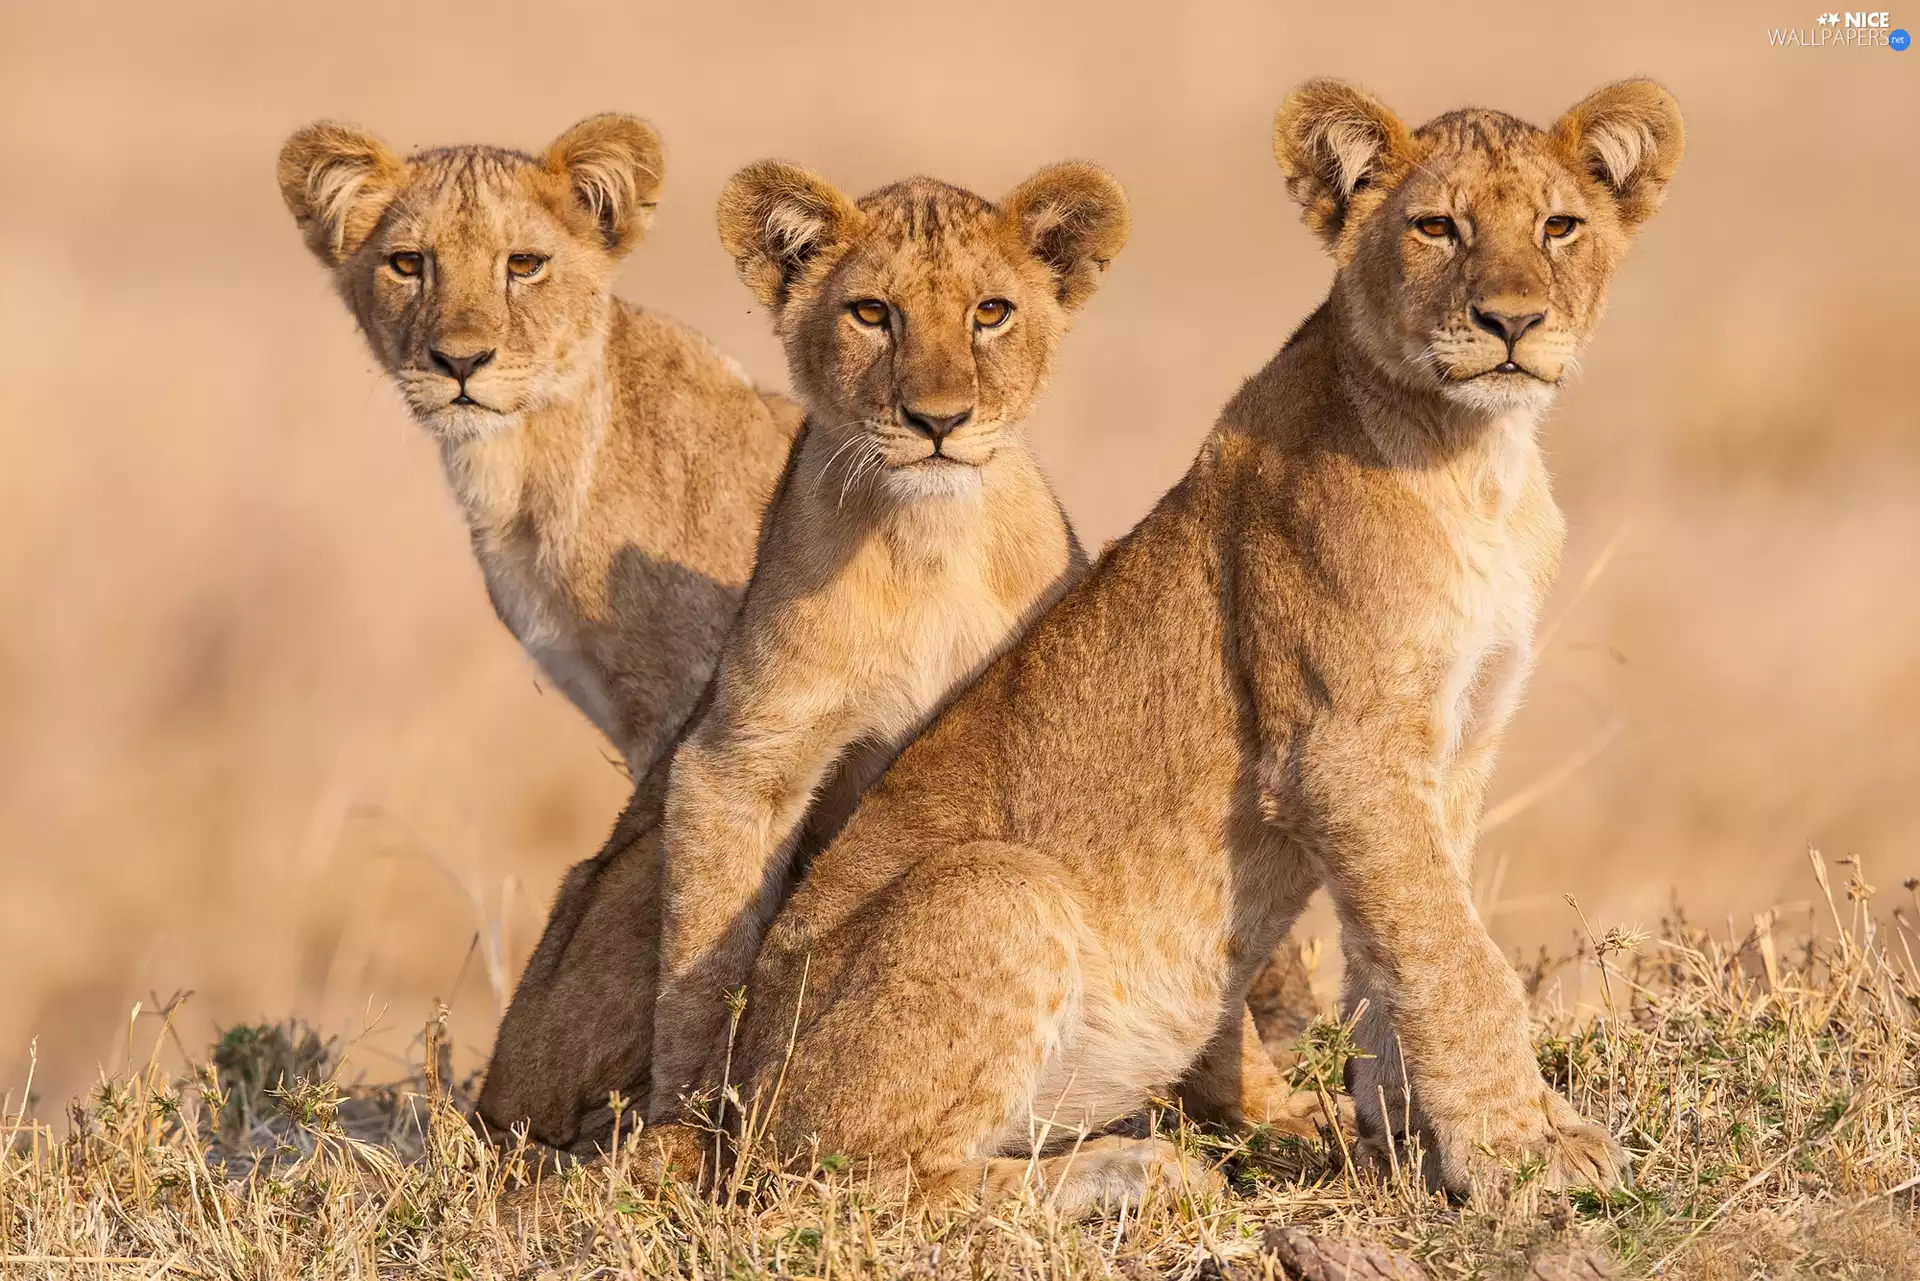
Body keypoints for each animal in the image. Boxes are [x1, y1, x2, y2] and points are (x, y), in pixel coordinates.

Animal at [660, 78, 1682, 1212]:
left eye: (1560, 227)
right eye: (1437, 228)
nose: (1512, 321)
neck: (1480, 460)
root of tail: (737, 1098)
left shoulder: (1456, 751)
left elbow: (1401, 954)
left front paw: (1409, 1137)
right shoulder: (1343, 753)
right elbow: (1459, 961)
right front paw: (1531, 1152)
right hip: (990, 894)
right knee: (844, 1183)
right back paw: (1134, 1171)